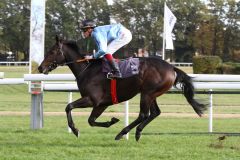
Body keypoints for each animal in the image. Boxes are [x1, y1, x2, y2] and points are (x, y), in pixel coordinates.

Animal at [38, 36, 207, 140]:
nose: (40, 68)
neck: (87, 70)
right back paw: (137, 132)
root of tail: (172, 67)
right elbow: (91, 120)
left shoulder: (92, 99)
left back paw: (122, 133)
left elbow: (68, 107)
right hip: (151, 93)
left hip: (147, 93)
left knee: (143, 114)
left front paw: (75, 130)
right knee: (155, 113)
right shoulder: (102, 104)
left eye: (52, 51)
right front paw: (111, 121)